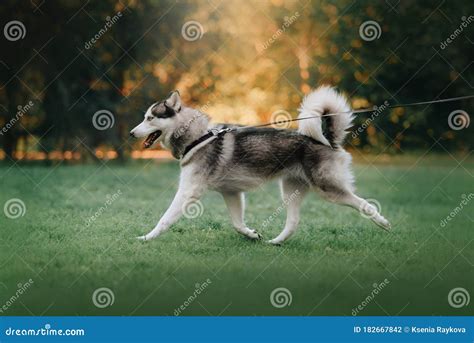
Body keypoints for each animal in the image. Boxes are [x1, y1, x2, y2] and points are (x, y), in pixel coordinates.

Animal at [129, 88, 388, 245]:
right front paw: (251, 234)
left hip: (328, 189)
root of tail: (325, 141)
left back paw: (382, 222)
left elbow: (164, 219)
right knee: (293, 222)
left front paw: (146, 237)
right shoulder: (231, 193)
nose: (131, 133)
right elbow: (237, 223)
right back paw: (276, 242)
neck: (198, 137)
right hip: (290, 190)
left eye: (150, 118)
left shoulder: (188, 192)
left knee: (363, 204)